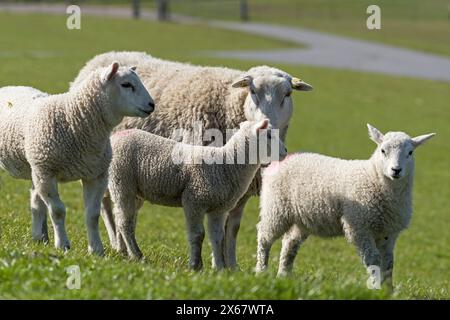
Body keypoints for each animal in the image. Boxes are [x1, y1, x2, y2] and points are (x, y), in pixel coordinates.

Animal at [0, 62, 155, 255]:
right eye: (126, 84)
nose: (152, 105)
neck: (72, 118)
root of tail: (7, 87)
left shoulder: (96, 175)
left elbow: (93, 214)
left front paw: (96, 250)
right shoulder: (47, 171)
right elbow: (58, 210)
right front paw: (63, 245)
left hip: (36, 169)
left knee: (36, 202)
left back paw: (38, 237)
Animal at [103, 120, 286, 270]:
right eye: (269, 135)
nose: (285, 152)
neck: (226, 165)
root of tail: (115, 136)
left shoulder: (218, 209)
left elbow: (217, 237)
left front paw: (220, 268)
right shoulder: (194, 200)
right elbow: (198, 235)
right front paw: (195, 266)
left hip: (135, 192)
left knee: (123, 218)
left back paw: (125, 253)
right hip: (121, 181)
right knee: (124, 222)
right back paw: (138, 255)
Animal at [256, 124, 436, 288]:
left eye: (410, 153)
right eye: (383, 151)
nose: (396, 170)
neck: (374, 178)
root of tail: (283, 159)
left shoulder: (388, 233)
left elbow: (389, 262)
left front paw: (388, 289)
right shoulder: (359, 226)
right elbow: (373, 259)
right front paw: (376, 287)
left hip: (302, 219)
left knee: (289, 243)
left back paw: (283, 275)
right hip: (275, 208)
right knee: (264, 237)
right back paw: (261, 271)